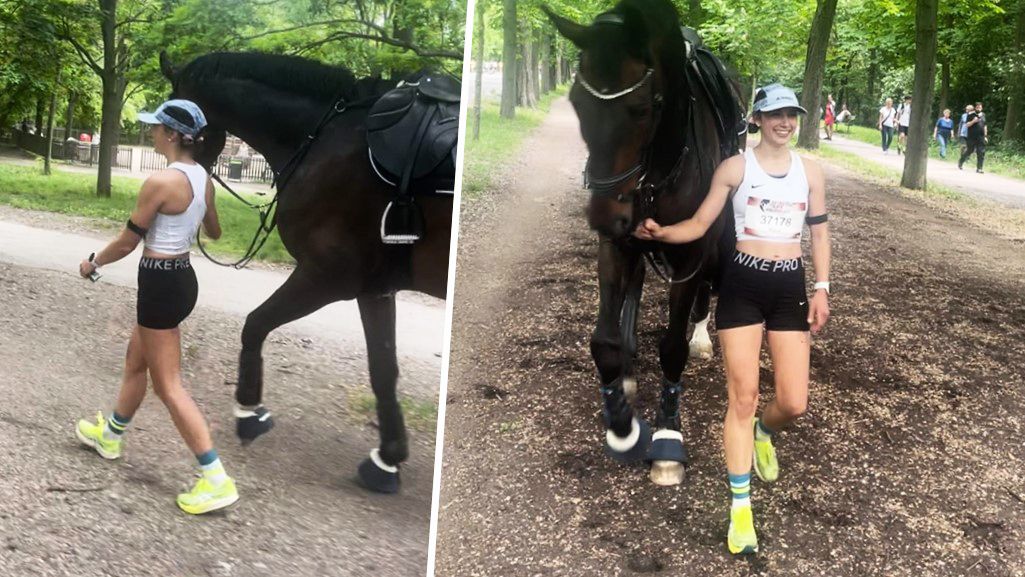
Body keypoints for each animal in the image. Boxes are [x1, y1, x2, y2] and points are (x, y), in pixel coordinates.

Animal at [158, 51, 454, 493]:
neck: (326, 135)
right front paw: (387, 459)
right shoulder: (374, 288)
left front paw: (249, 411)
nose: (172, 183)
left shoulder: (326, 277)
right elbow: (383, 369)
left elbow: (255, 324)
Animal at [545, 0, 745, 485]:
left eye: (640, 108)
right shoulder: (617, 244)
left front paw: (668, 438)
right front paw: (621, 423)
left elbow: (673, 346)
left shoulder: (692, 251)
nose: (603, 215)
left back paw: (700, 336)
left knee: (705, 290)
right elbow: (603, 341)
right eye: (576, 103)